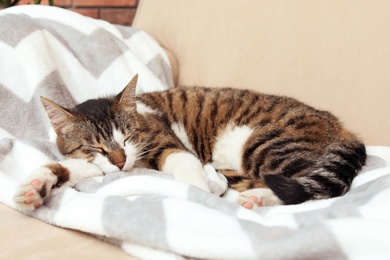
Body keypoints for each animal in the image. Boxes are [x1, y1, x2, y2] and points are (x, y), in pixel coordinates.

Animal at [13, 74, 368, 209]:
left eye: (127, 137)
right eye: (95, 148)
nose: (121, 161)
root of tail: (342, 128)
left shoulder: (167, 144)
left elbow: (184, 166)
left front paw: (199, 195)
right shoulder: (97, 166)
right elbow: (65, 168)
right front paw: (35, 186)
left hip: (265, 142)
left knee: (303, 189)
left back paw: (255, 198)